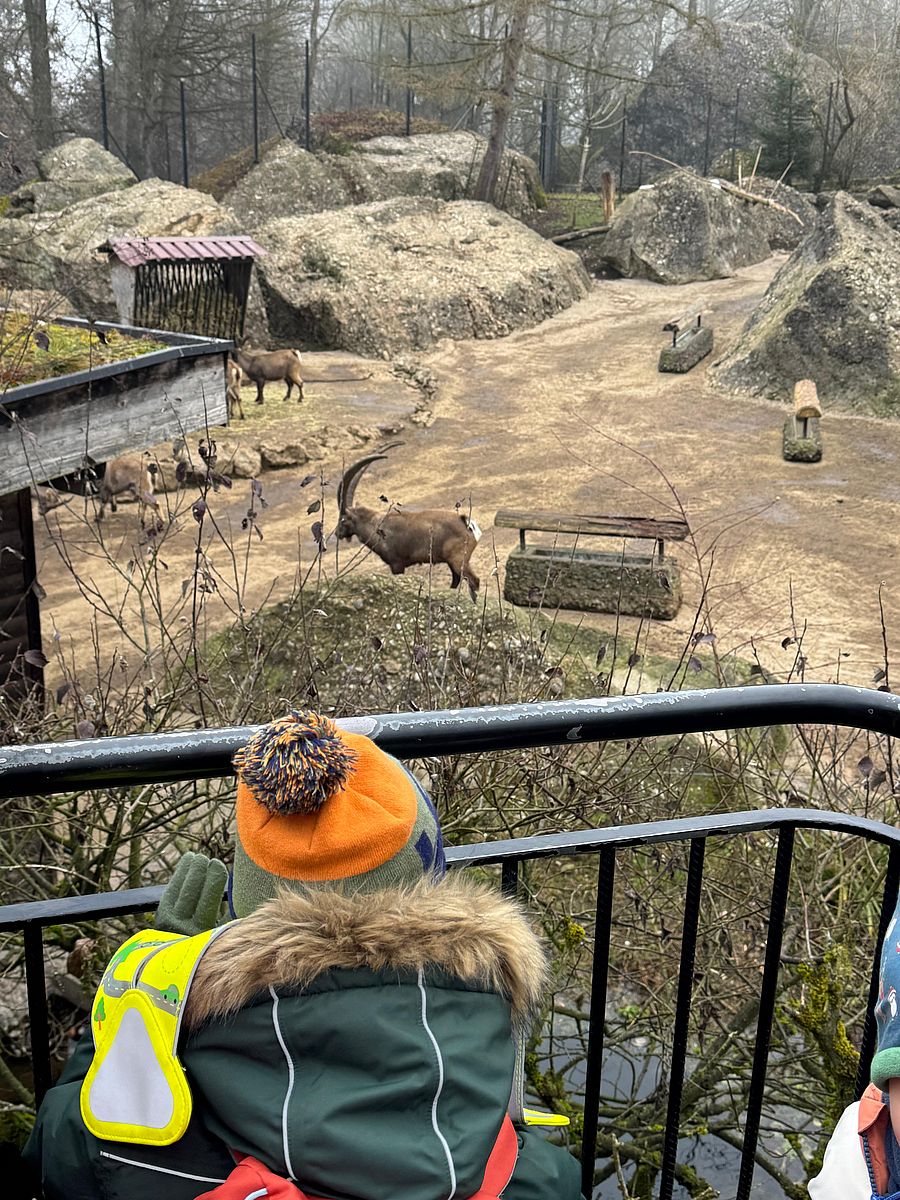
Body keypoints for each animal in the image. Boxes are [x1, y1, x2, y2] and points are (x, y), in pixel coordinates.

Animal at [337, 450, 481, 601]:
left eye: (342, 519)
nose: (337, 533)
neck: (376, 525)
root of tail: (466, 521)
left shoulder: (397, 564)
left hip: (458, 560)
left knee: (474, 580)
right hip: (452, 563)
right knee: (456, 581)